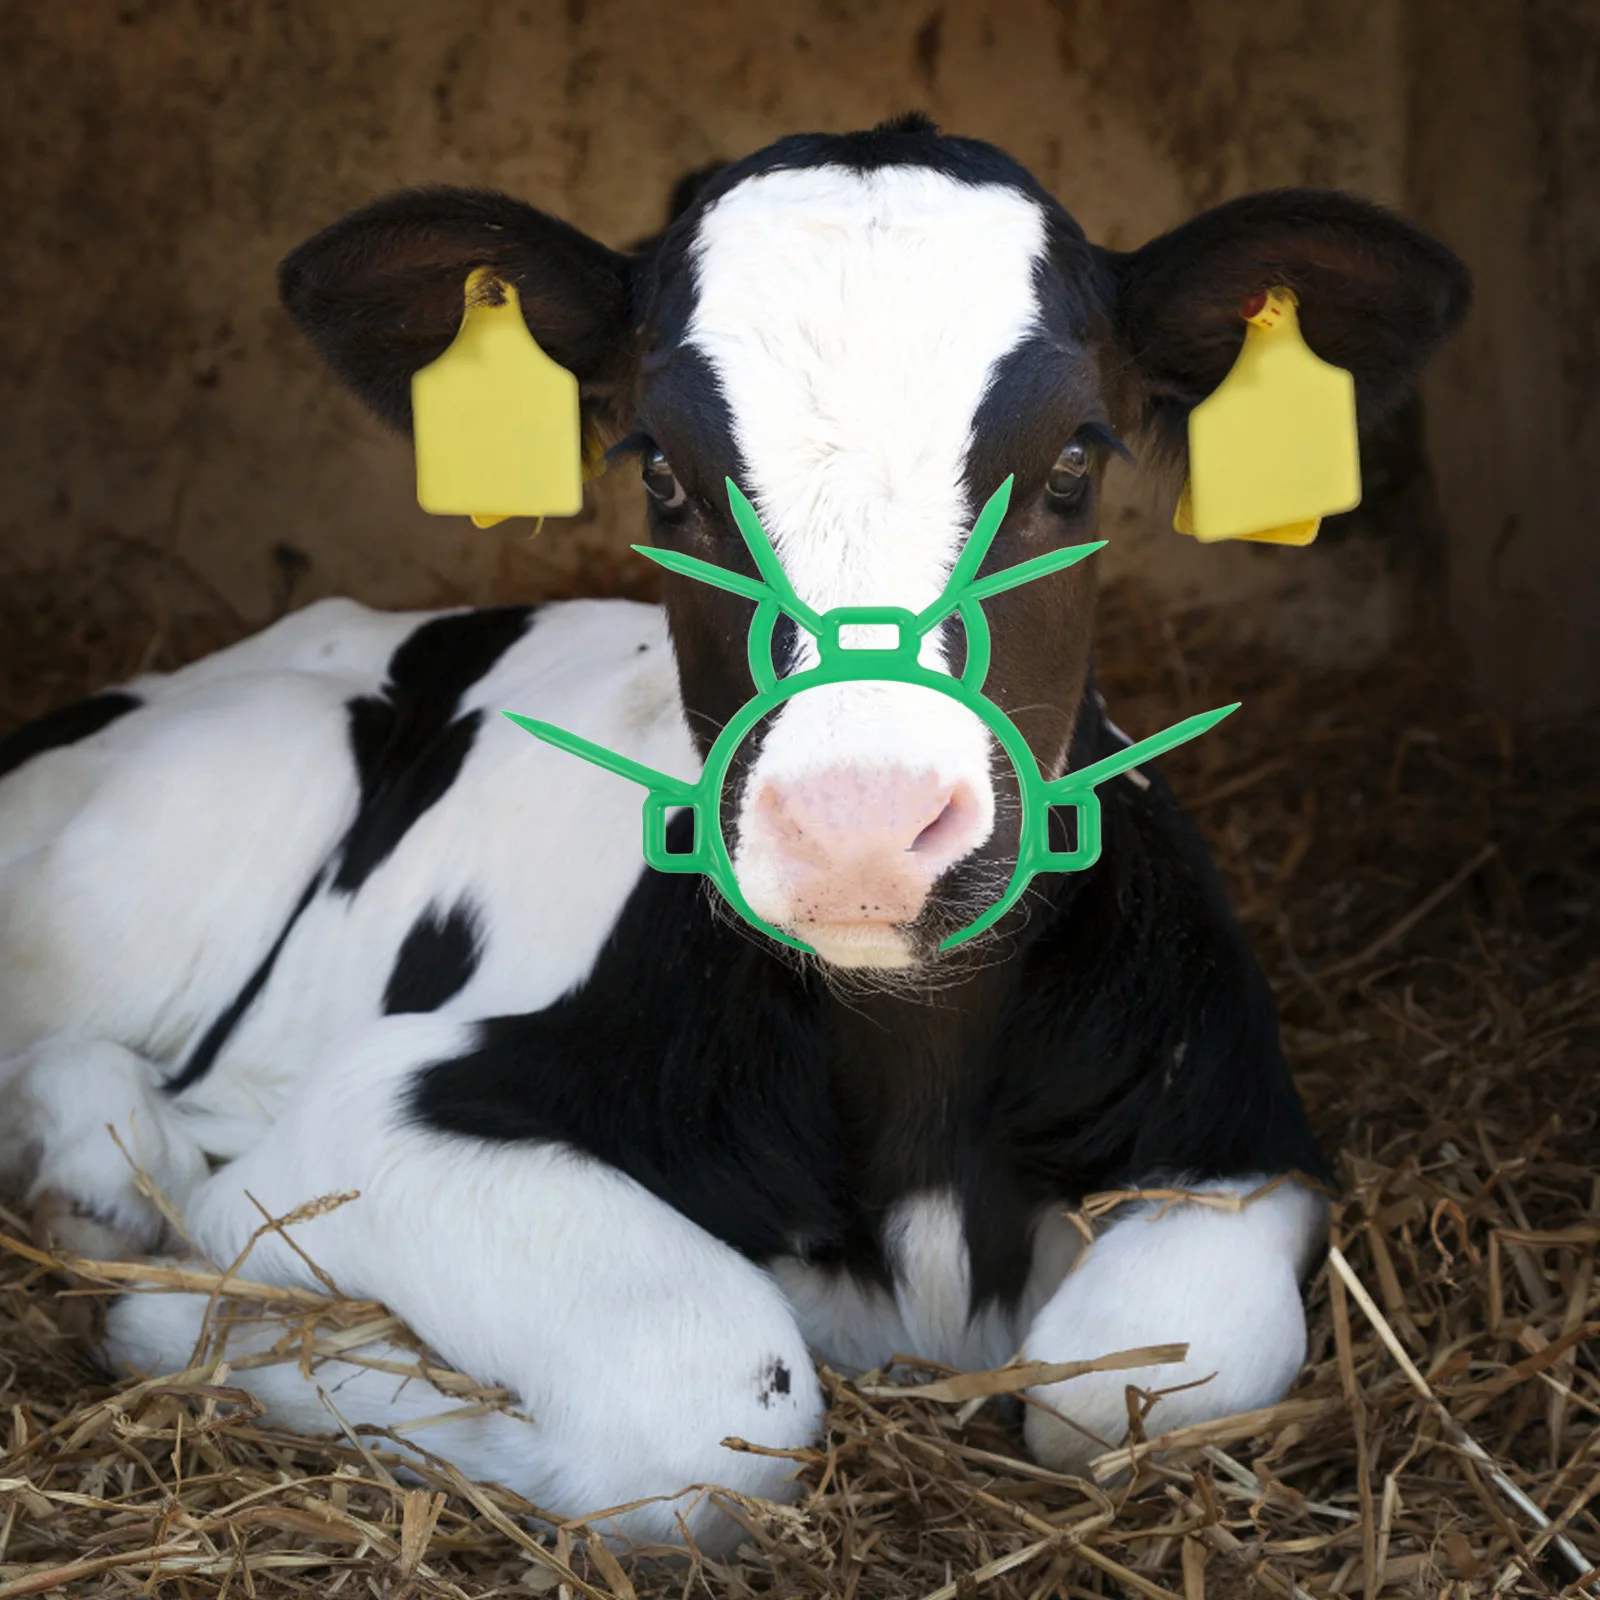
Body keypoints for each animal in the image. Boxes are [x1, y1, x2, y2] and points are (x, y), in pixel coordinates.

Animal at [0, 116, 1469, 1550]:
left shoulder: (1236, 1130)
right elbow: (703, 1401)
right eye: (663, 470)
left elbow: (1134, 1384)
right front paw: (191, 1317)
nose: (858, 826)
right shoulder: (373, 1119)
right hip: (240, 781)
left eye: (1071, 460)